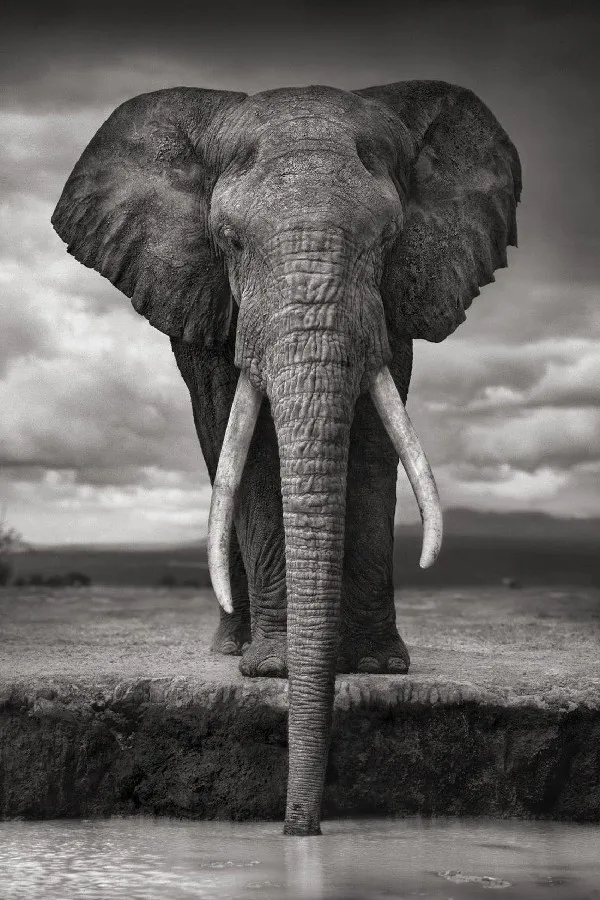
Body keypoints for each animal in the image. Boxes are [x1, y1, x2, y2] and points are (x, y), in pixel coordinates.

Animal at [52, 80, 521, 835]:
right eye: (229, 240)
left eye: (387, 238)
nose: (300, 827)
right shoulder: (214, 297)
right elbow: (248, 449)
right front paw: (273, 671)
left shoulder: (393, 302)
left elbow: (371, 441)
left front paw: (375, 667)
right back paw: (232, 649)